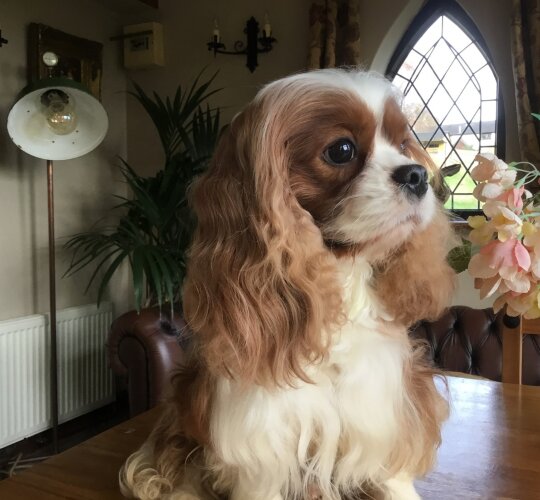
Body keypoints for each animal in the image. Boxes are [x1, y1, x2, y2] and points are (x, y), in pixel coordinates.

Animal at [119, 69, 456, 500]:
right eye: (341, 150)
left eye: (403, 145)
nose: (416, 174)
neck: (337, 282)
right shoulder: (259, 435)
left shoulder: (382, 406)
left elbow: (392, 472)